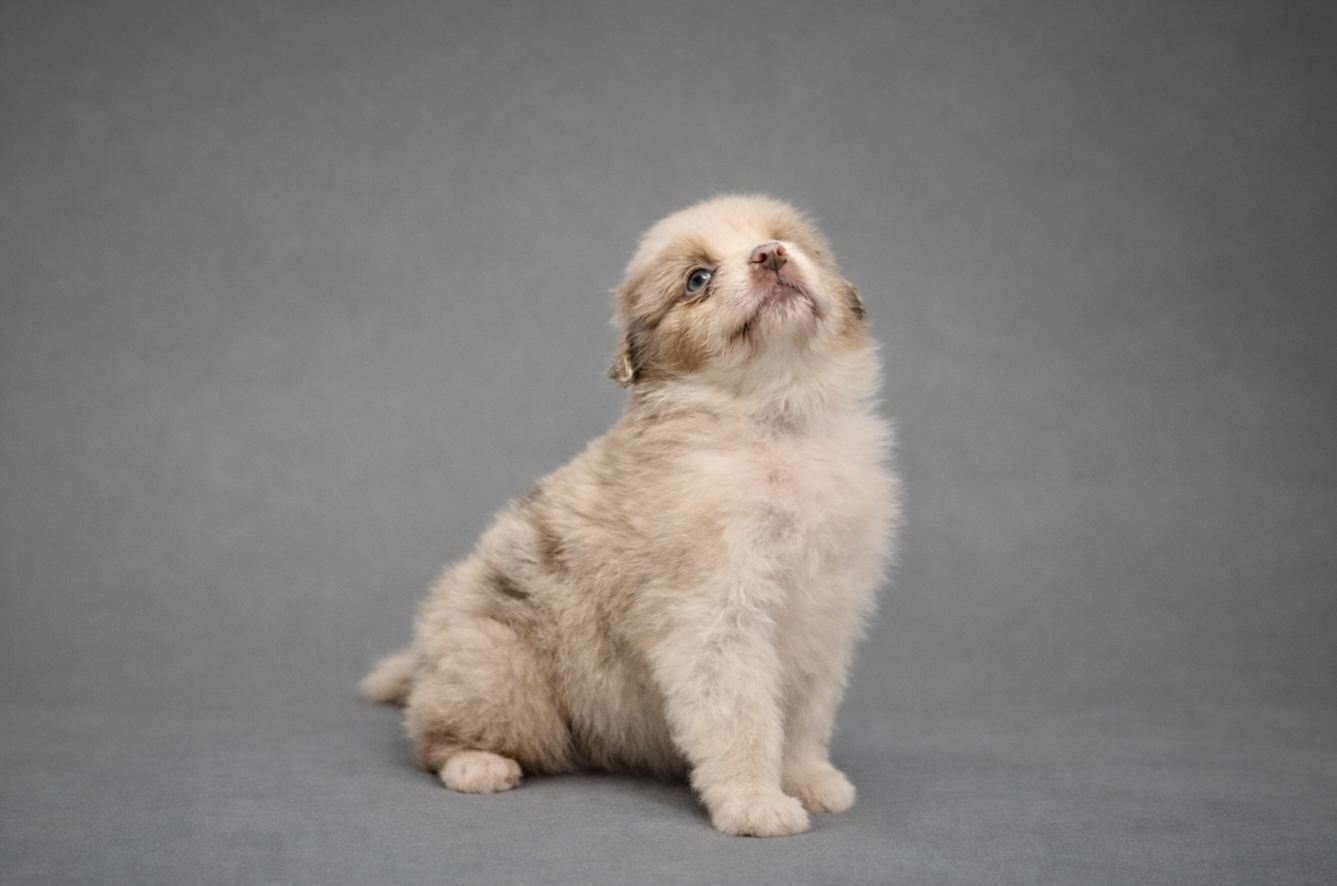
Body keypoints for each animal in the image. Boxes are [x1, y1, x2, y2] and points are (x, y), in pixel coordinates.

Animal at [363, 195, 899, 837]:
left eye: (789, 240)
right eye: (697, 279)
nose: (771, 255)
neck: (772, 420)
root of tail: (424, 658)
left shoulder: (823, 612)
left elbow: (803, 715)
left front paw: (808, 779)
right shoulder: (716, 618)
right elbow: (741, 718)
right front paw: (754, 803)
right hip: (499, 668)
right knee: (435, 735)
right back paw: (477, 764)